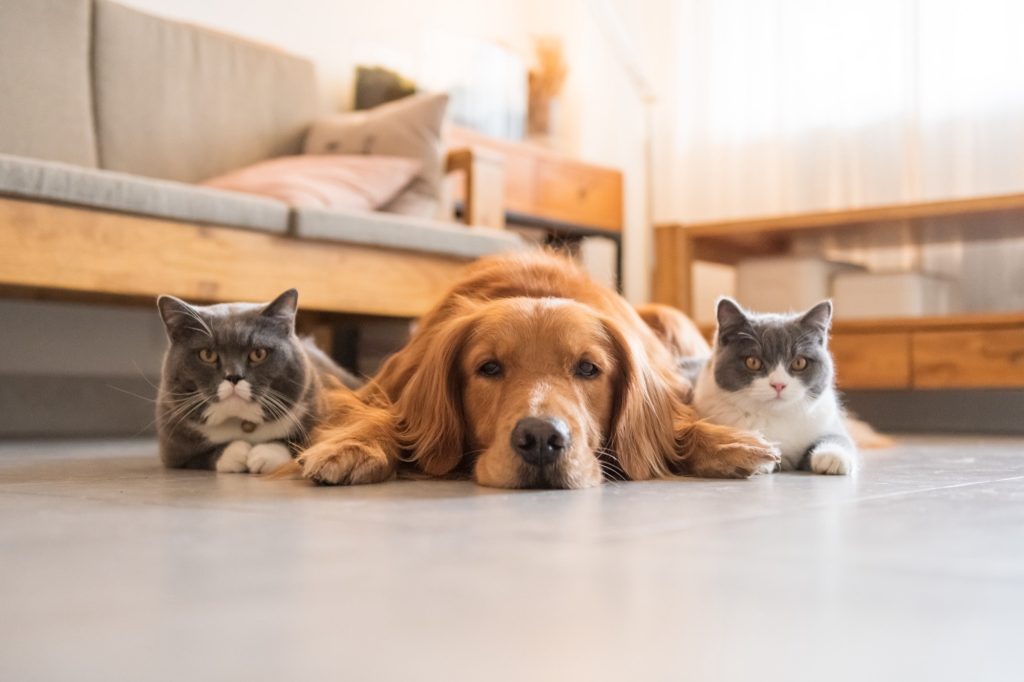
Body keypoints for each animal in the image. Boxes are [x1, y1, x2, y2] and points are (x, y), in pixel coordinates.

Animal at [151, 288, 360, 473]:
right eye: (207, 354)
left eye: (258, 353)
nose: (233, 376)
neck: (243, 422)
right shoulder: (172, 448)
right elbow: (198, 457)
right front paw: (236, 453)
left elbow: (303, 442)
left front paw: (264, 454)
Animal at [299, 251, 778, 485]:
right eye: (489, 367)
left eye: (588, 368)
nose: (542, 440)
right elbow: (382, 417)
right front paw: (351, 446)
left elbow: (678, 424)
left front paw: (728, 443)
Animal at [692, 296, 860, 473]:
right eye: (753, 362)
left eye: (799, 362)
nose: (779, 384)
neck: (775, 416)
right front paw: (756, 454)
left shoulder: (827, 419)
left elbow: (840, 437)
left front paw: (833, 457)